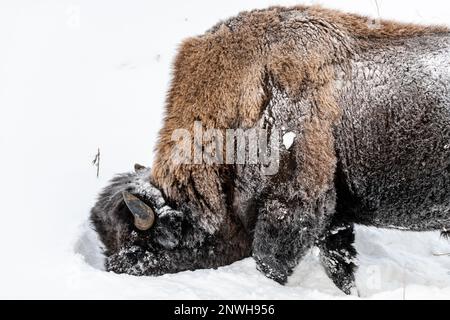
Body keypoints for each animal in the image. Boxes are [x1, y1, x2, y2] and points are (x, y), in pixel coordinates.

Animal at [90, 5, 450, 296]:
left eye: (141, 244)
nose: (114, 269)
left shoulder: (293, 204)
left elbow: (270, 262)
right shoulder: (334, 219)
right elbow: (338, 265)